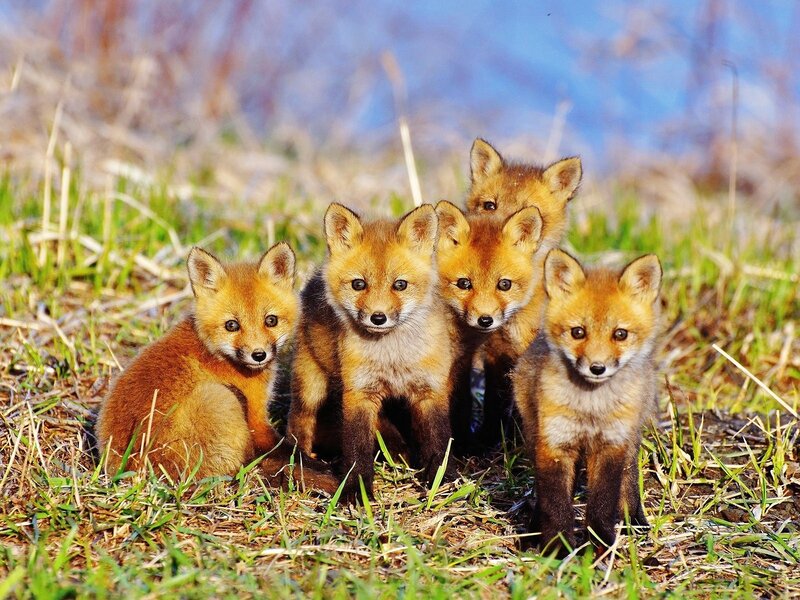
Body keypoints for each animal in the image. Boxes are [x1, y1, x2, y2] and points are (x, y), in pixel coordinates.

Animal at [95, 243, 338, 493]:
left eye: (271, 320)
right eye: (231, 325)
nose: (259, 355)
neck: (217, 353)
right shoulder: (256, 419)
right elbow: (289, 449)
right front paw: (325, 467)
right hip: (221, 397)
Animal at [287, 203, 455, 500]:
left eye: (400, 285)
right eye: (358, 284)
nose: (378, 318)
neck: (392, 358)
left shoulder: (431, 390)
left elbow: (438, 440)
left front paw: (440, 481)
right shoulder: (358, 393)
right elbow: (357, 449)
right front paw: (357, 490)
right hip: (311, 386)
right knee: (298, 422)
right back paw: (304, 461)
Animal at [512, 249, 663, 553]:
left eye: (620, 334)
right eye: (578, 332)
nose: (597, 368)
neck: (590, 409)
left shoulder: (611, 446)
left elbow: (603, 503)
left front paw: (601, 543)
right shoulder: (554, 444)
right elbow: (555, 503)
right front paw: (558, 547)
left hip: (630, 438)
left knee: (629, 478)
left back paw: (633, 518)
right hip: (534, 432)